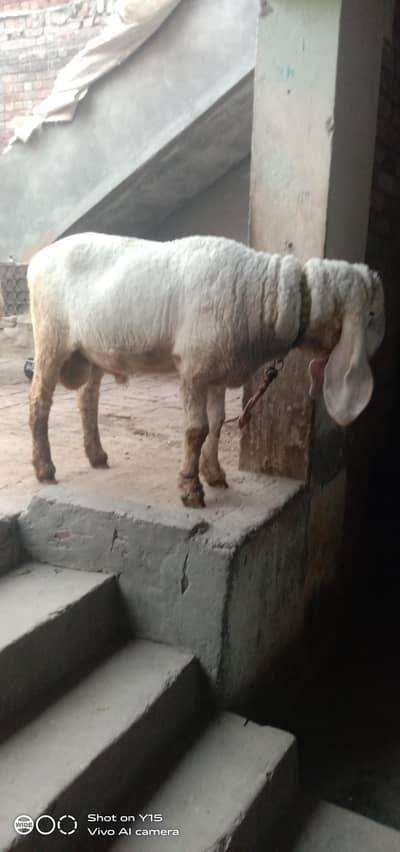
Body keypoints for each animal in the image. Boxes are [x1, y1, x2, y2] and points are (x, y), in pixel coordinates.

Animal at [28, 233, 385, 508]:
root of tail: (36, 260)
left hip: (93, 351)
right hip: (50, 337)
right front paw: (191, 488)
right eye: (372, 314)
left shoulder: (217, 370)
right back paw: (45, 469)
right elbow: (196, 430)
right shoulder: (194, 369)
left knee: (87, 402)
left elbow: (216, 424)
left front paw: (214, 474)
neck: (267, 295)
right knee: (38, 403)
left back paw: (96, 455)